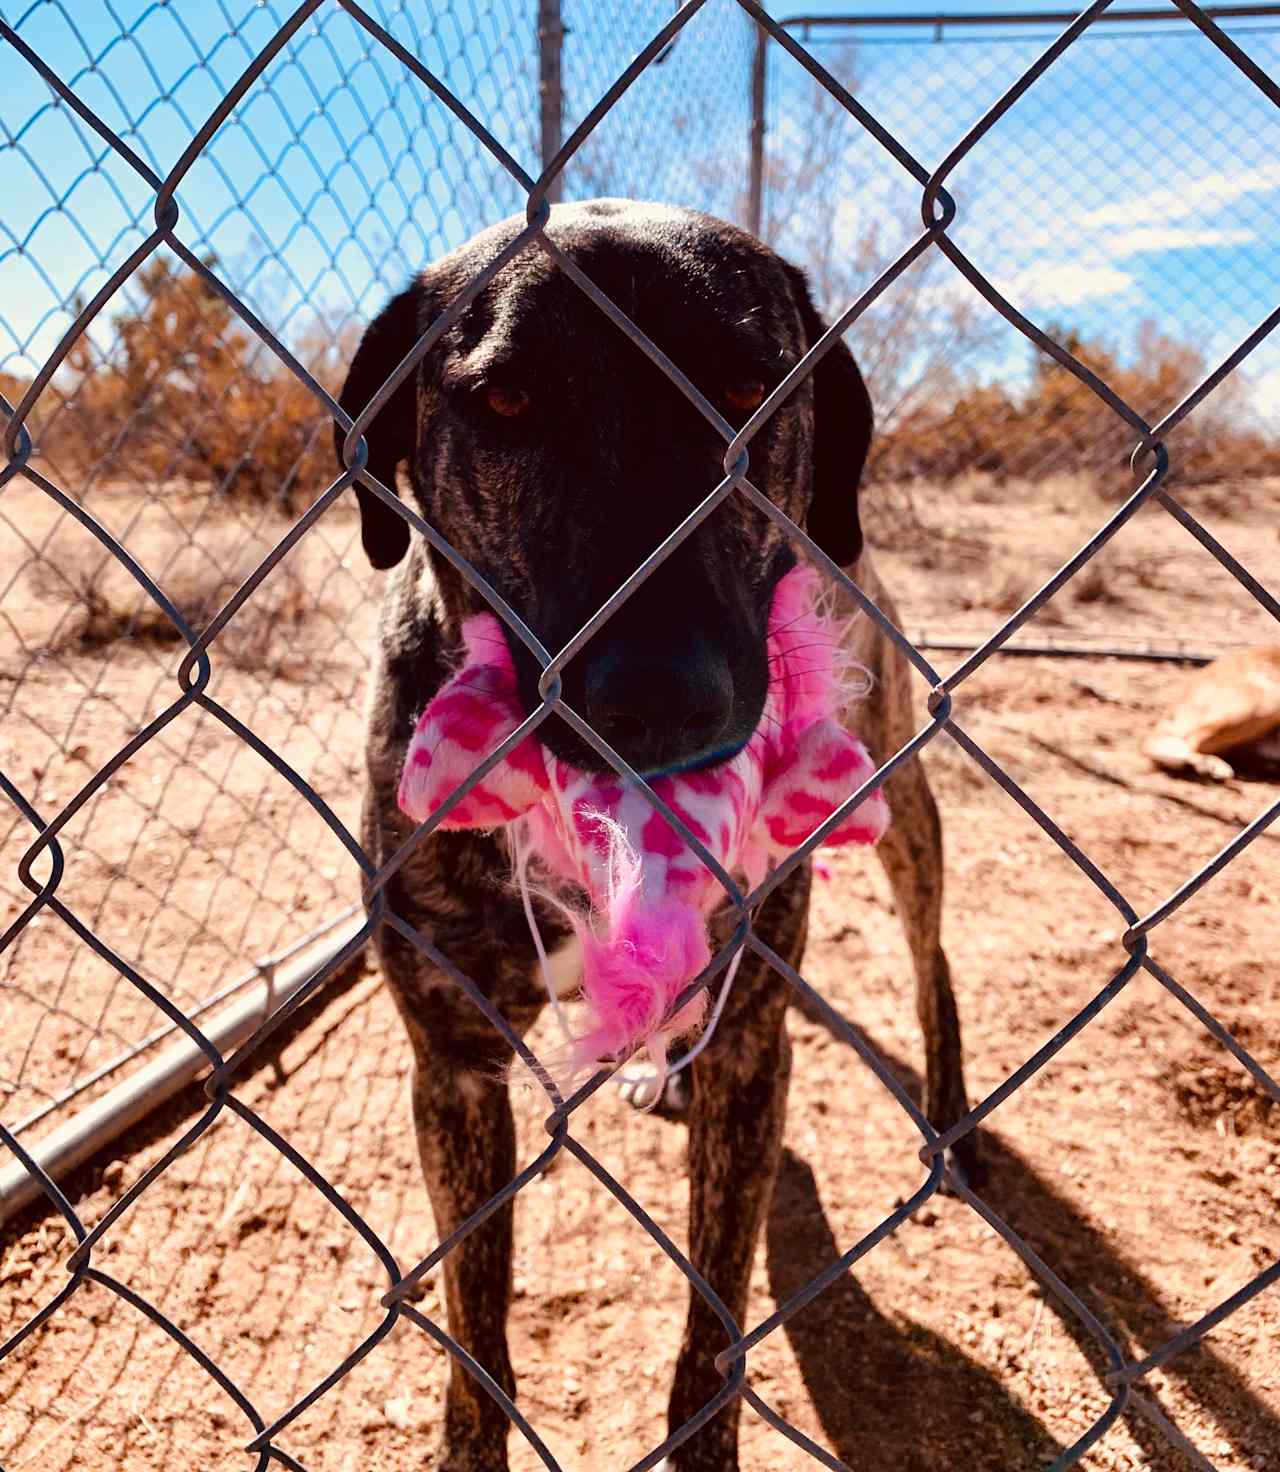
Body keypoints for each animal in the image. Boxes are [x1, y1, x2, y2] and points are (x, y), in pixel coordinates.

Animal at [335, 198, 976, 1472]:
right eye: (506, 399)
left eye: (745, 389)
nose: (659, 702)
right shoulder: (453, 1068)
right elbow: (473, 1330)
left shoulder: (751, 1051)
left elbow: (711, 1330)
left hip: (899, 802)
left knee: (931, 958)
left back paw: (947, 1111)